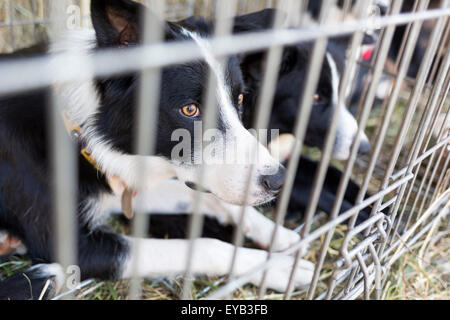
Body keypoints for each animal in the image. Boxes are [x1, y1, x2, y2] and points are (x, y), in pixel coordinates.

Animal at [0, 0, 320, 300]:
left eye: (239, 99)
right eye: (190, 109)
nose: (278, 180)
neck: (81, 129)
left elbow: (208, 199)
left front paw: (277, 236)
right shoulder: (75, 245)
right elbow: (203, 246)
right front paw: (276, 267)